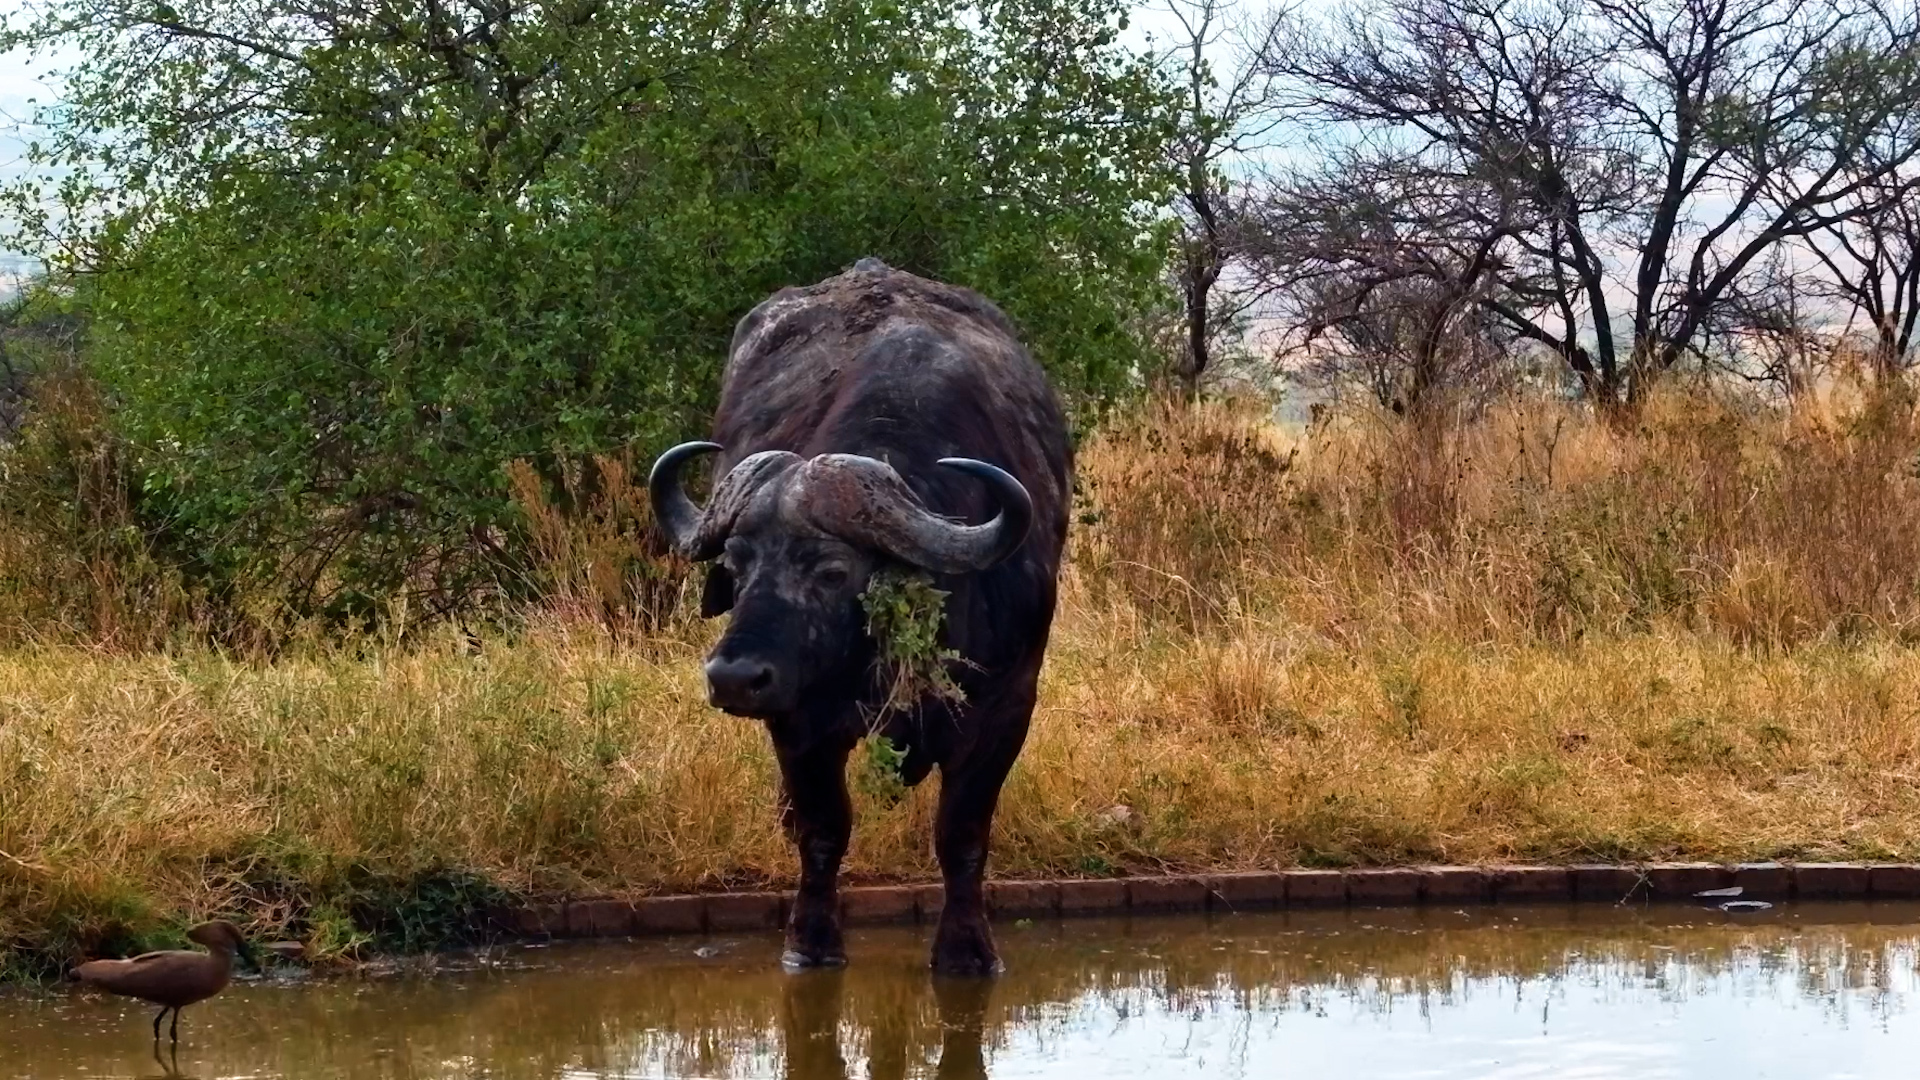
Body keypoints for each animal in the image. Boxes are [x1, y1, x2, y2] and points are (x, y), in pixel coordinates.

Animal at [649, 258, 1071, 975]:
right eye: (736, 564)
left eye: (833, 572)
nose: (734, 677)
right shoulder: (797, 720)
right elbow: (824, 831)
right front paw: (810, 943)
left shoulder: (1008, 707)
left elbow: (961, 834)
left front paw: (967, 949)